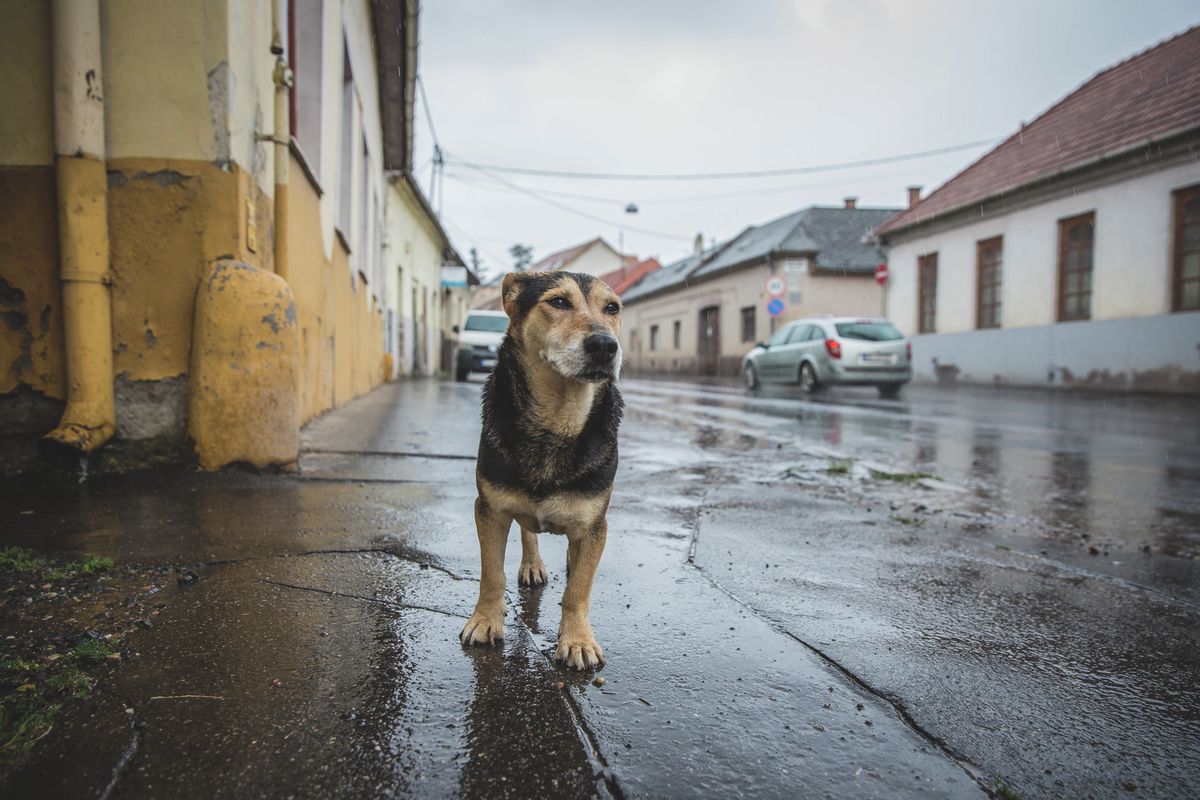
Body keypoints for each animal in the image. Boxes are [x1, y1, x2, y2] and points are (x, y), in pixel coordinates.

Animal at [460, 268, 628, 671]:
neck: (558, 420)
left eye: (612, 308)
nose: (605, 345)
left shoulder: (595, 523)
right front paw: (485, 621)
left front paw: (578, 640)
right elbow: (492, 573)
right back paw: (532, 564)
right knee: (528, 532)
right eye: (559, 302)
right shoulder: (489, 509)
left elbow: (578, 590)